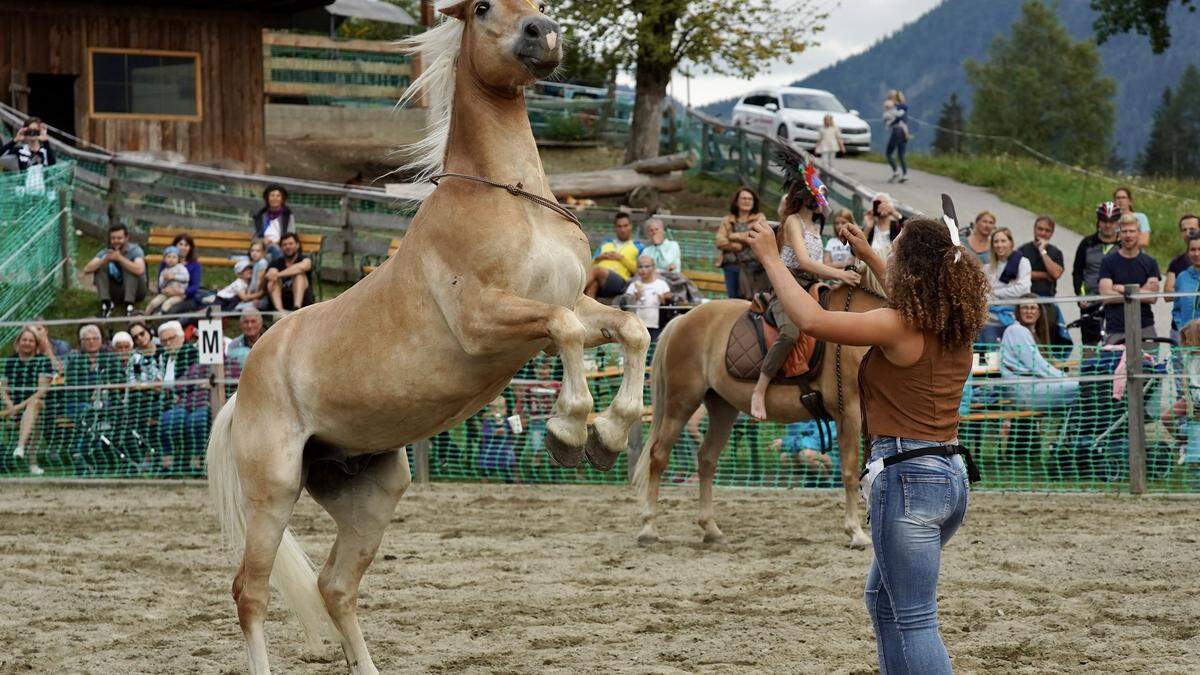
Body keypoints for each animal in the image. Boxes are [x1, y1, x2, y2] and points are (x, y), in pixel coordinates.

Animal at [211, 2, 652, 667]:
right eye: (482, 8)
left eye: (537, 6)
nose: (544, 34)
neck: (515, 203)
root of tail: (243, 391)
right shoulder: (487, 321)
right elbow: (568, 332)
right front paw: (570, 429)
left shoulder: (571, 299)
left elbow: (631, 330)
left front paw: (609, 432)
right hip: (274, 491)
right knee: (251, 593)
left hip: (373, 489)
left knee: (334, 586)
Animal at [628, 267, 883, 547]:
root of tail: (682, 320)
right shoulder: (848, 411)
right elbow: (850, 471)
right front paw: (856, 532)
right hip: (680, 404)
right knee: (658, 456)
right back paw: (649, 528)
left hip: (722, 408)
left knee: (706, 459)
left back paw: (711, 529)